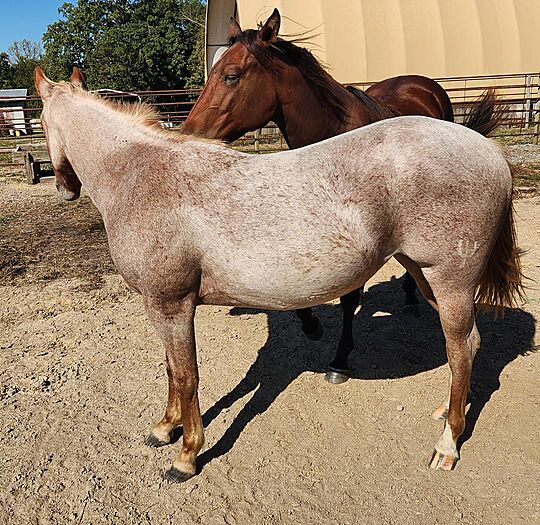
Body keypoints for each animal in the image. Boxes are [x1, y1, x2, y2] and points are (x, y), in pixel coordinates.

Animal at [35, 66, 522, 482]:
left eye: (38, 120)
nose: (64, 188)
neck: (139, 174)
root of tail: (489, 151)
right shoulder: (161, 308)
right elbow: (173, 371)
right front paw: (163, 428)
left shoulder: (170, 305)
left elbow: (187, 376)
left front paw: (186, 454)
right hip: (425, 275)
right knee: (468, 344)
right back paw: (449, 413)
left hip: (450, 280)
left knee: (460, 348)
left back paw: (447, 444)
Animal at [182, 8, 505, 384]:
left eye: (231, 76)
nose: (189, 134)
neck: (331, 134)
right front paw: (311, 324)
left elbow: (350, 300)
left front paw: (339, 360)